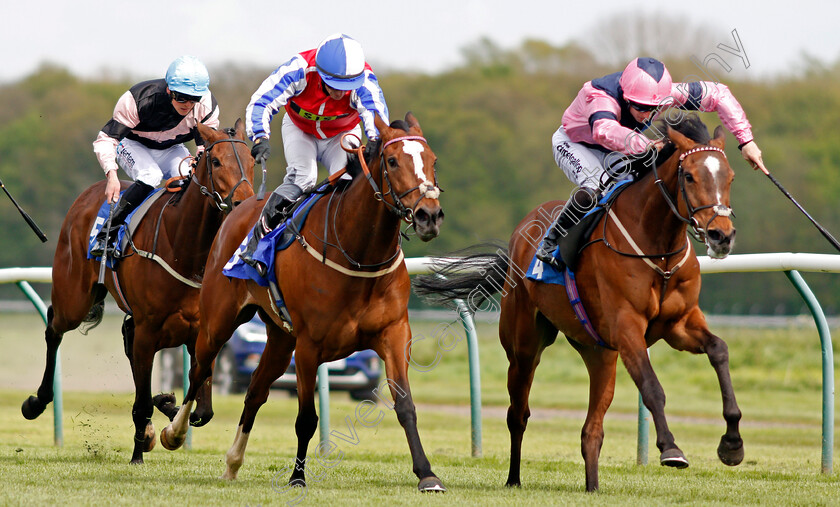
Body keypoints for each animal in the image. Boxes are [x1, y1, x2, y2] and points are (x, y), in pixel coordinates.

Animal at [21, 122, 254, 464]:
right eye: (216, 162)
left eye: (252, 160)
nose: (244, 203)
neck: (184, 248)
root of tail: (89, 193)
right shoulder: (150, 328)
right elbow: (143, 402)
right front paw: (138, 453)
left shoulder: (201, 332)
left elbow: (203, 411)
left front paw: (167, 411)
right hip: (74, 297)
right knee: (54, 327)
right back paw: (37, 401)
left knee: (125, 339)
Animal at [158, 113, 446, 494]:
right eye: (393, 160)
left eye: (433, 161)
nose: (430, 215)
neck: (359, 255)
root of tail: (241, 207)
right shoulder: (310, 346)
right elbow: (307, 418)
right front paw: (297, 477)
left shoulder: (394, 335)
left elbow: (405, 406)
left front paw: (427, 474)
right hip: (217, 322)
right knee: (199, 370)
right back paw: (174, 431)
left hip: (281, 340)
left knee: (255, 390)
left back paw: (233, 461)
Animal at [414, 115, 740, 492]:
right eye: (689, 176)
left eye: (730, 176)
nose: (721, 235)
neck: (659, 250)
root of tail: (519, 234)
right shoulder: (627, 327)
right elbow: (652, 387)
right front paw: (671, 449)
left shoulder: (680, 324)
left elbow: (719, 350)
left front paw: (732, 444)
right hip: (524, 345)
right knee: (518, 413)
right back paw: (513, 479)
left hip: (599, 353)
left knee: (591, 430)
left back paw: (592, 486)